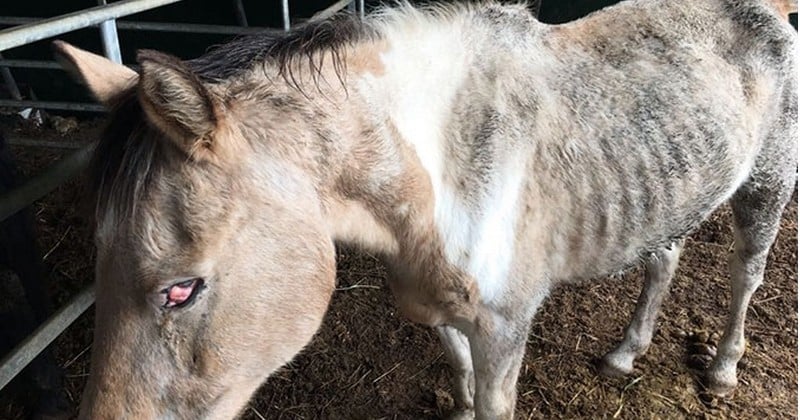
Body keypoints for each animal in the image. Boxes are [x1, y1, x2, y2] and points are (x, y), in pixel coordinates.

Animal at [53, 0, 796, 418]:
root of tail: (768, 10)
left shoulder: (505, 328)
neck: (440, 170)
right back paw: (623, 355)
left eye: (181, 289)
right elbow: (457, 370)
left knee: (745, 275)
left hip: (766, 189)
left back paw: (722, 370)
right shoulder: (436, 306)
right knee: (663, 260)